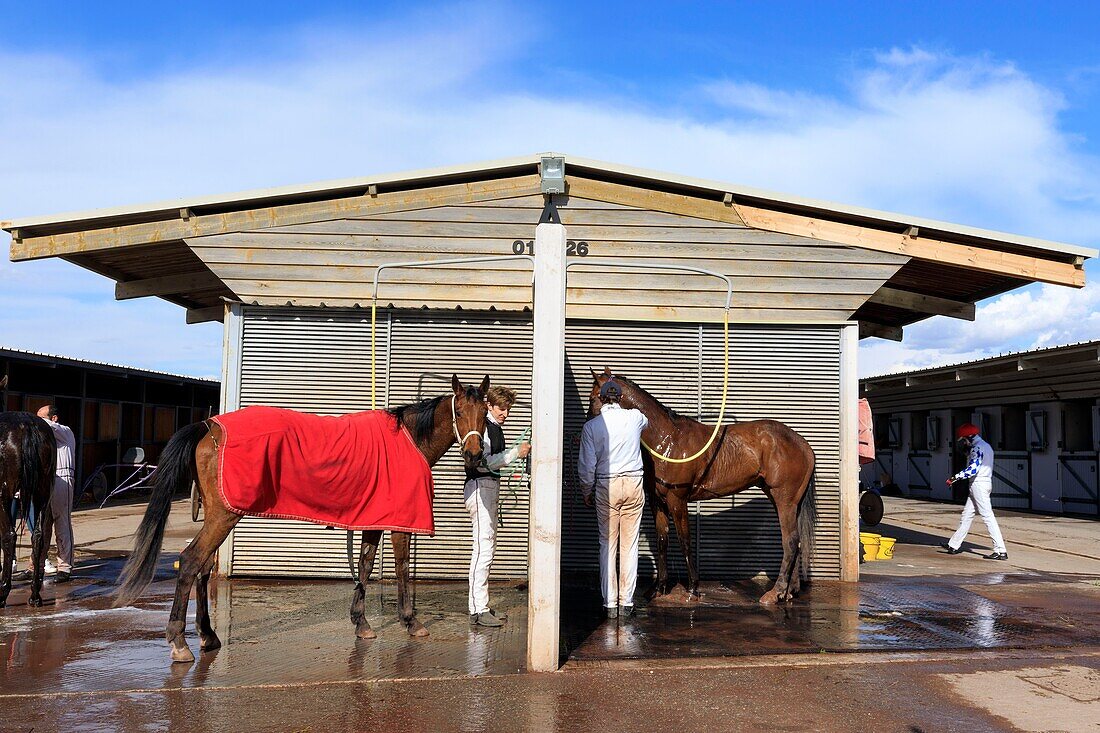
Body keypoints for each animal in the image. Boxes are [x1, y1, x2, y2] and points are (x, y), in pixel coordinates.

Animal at [114, 374, 486, 660]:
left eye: (485, 413)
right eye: (460, 411)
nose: (475, 454)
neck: (409, 440)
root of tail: (208, 426)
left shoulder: (373, 520)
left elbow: (365, 565)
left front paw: (361, 624)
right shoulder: (399, 522)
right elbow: (403, 568)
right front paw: (411, 622)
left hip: (217, 516)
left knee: (203, 568)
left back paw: (208, 636)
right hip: (223, 517)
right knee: (191, 562)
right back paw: (180, 643)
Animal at [585, 367, 818, 603]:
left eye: (593, 398)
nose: (586, 429)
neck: (666, 439)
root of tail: (804, 445)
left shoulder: (677, 500)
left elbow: (685, 541)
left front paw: (693, 589)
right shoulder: (657, 501)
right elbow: (662, 541)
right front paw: (659, 588)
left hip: (784, 501)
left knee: (790, 541)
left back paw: (774, 592)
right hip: (787, 501)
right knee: (796, 542)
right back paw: (788, 592)